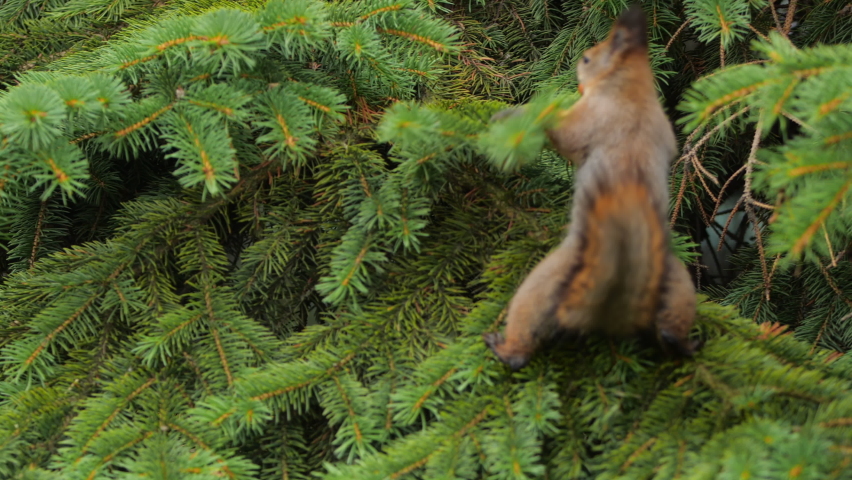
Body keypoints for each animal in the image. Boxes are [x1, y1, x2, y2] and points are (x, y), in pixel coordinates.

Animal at [483, 5, 701, 371]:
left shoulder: (588, 119)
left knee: (524, 336)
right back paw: (683, 343)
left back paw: (506, 348)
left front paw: (512, 115)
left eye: (587, 58)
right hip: (676, 284)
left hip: (548, 283)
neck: (631, 89)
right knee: (672, 328)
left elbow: (562, 134)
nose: (576, 69)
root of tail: (612, 312)